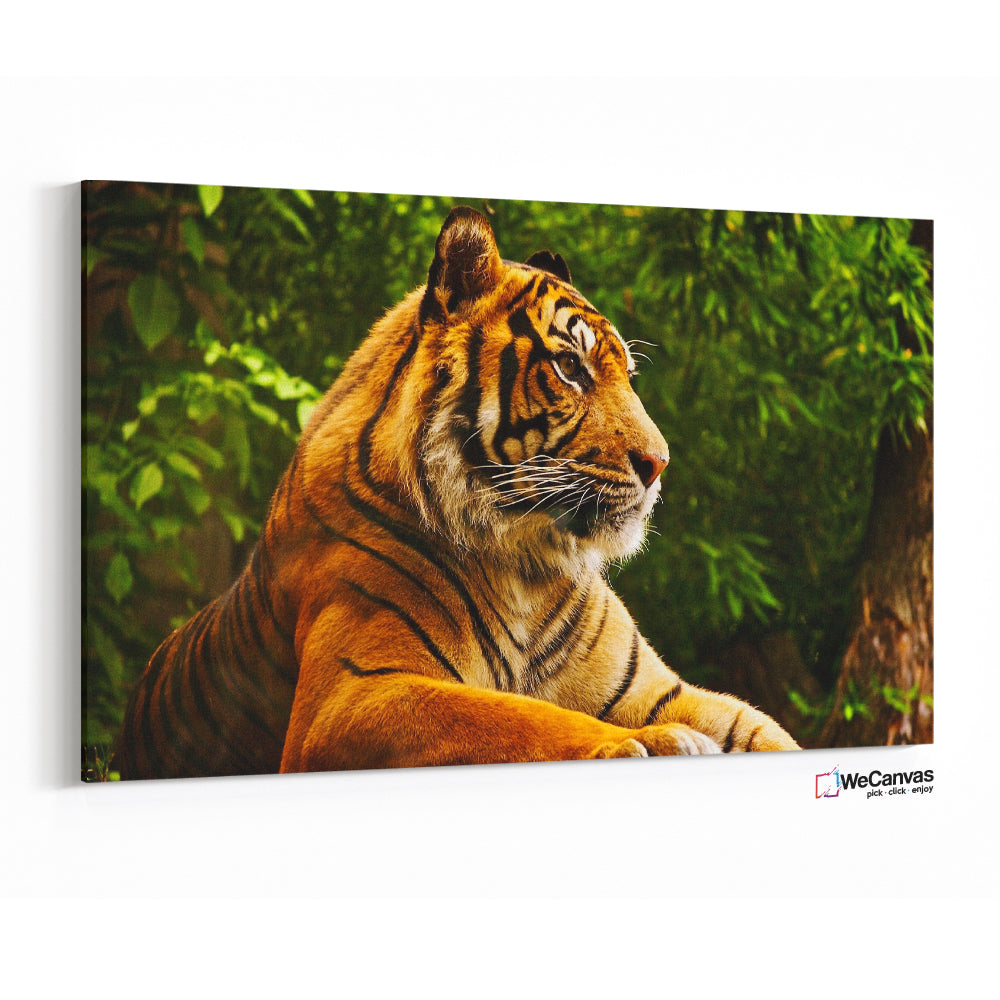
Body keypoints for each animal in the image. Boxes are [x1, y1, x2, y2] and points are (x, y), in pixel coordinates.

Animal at [116, 206, 799, 779]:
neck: (528, 567)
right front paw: (651, 743)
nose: (659, 464)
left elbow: (767, 731)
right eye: (570, 368)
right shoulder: (351, 694)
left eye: (626, 376)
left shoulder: (657, 690)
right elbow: (517, 716)